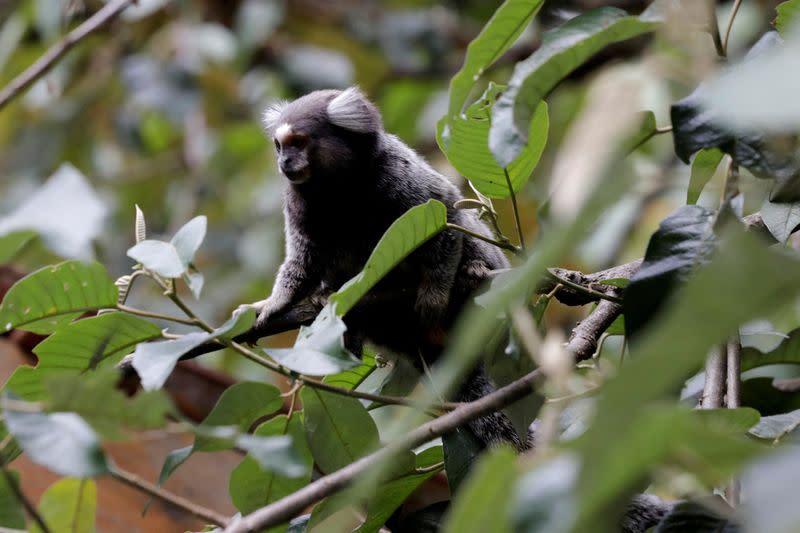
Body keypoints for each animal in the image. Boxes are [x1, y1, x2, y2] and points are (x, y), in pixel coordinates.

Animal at [252, 87, 524, 448]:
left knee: (468, 228)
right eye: (279, 146)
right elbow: (302, 261)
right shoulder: (297, 204)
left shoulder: (400, 174)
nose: (284, 163)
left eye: (298, 142)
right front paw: (276, 302)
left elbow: (446, 212)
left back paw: (474, 270)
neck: (338, 189)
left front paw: (434, 294)